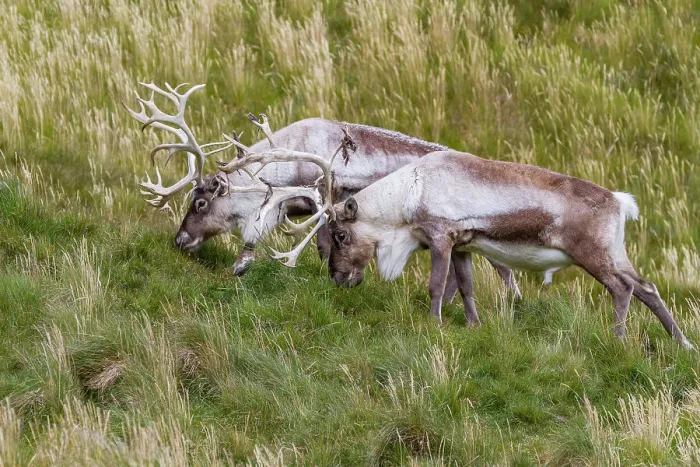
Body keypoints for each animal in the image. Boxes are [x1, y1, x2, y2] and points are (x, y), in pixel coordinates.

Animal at [308, 150, 693, 349]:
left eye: (340, 235)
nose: (338, 278)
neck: (406, 195)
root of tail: (619, 202)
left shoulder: (440, 236)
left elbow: (436, 286)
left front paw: (434, 324)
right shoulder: (462, 245)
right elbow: (465, 287)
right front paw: (473, 325)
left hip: (593, 256)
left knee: (622, 288)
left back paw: (618, 338)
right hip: (616, 254)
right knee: (647, 287)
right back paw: (682, 343)